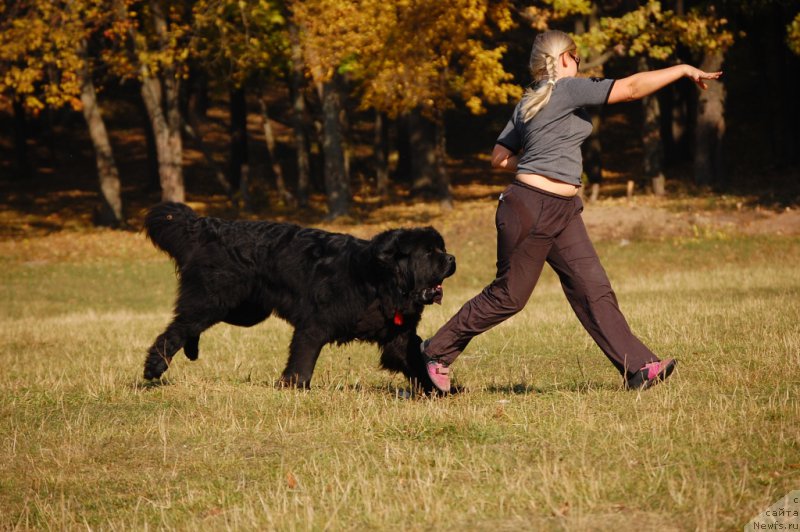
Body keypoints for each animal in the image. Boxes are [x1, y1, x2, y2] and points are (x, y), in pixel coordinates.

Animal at [144, 202, 456, 392]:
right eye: (429, 252)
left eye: (442, 249)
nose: (452, 258)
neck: (381, 281)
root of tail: (210, 227)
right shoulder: (315, 325)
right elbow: (303, 358)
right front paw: (294, 385)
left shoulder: (398, 335)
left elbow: (414, 360)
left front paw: (439, 390)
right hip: (215, 300)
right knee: (179, 327)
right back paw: (155, 367)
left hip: (245, 311)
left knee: (189, 325)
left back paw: (190, 350)